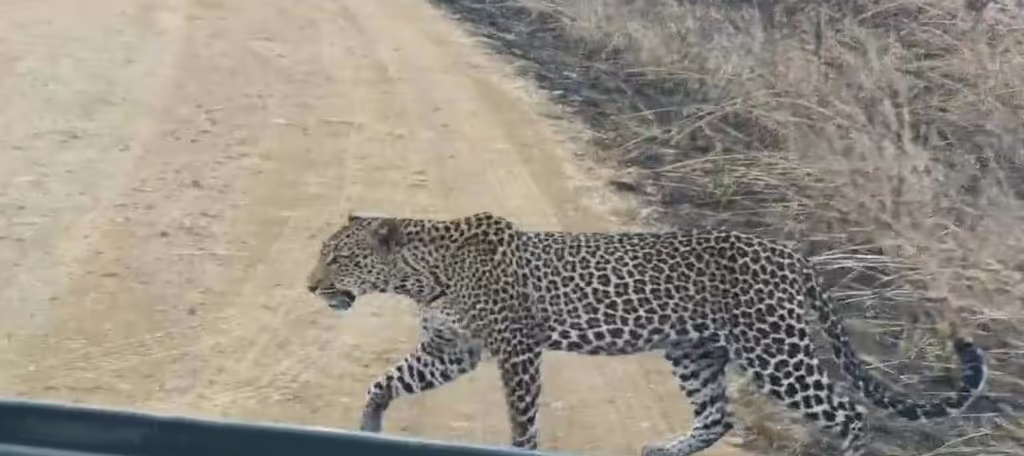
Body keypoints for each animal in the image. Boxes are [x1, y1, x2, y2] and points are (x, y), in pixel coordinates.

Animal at [305, 211, 989, 456]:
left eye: (337, 258)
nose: (312, 285)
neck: (422, 273)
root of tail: (794, 256)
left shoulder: (516, 349)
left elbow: (522, 417)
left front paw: (522, 448)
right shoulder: (454, 349)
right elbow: (389, 379)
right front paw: (368, 424)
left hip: (774, 349)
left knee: (849, 412)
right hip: (694, 350)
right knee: (718, 416)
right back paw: (667, 449)